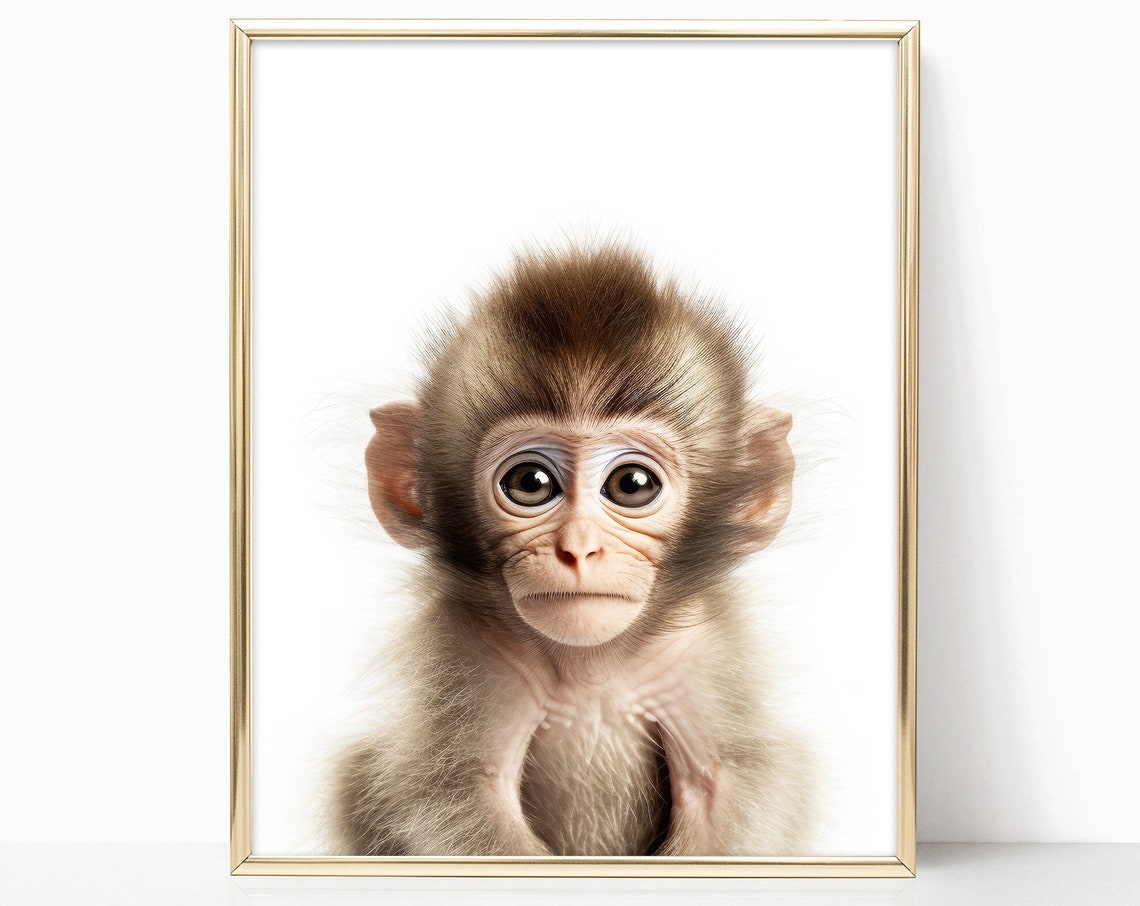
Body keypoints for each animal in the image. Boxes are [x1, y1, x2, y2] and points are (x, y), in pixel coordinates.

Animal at [331, 246, 813, 857]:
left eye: (632, 484)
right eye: (530, 483)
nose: (579, 550)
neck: (591, 671)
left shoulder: (701, 648)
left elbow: (729, 784)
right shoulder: (468, 648)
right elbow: (461, 792)